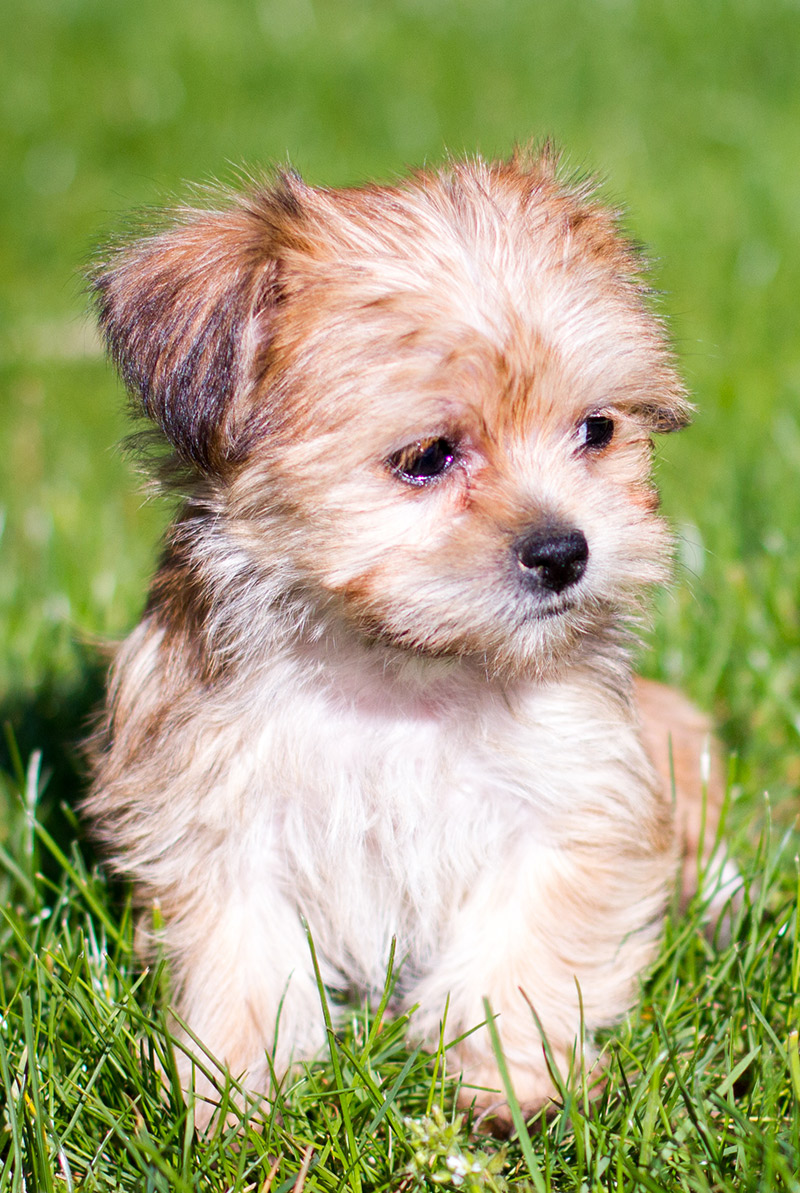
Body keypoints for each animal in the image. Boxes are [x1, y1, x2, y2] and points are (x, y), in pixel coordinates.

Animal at [85, 149, 724, 1126]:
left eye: (598, 429)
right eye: (427, 457)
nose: (564, 551)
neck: (403, 671)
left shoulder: (574, 798)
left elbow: (523, 947)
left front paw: (508, 1081)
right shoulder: (215, 806)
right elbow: (244, 955)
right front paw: (233, 1096)